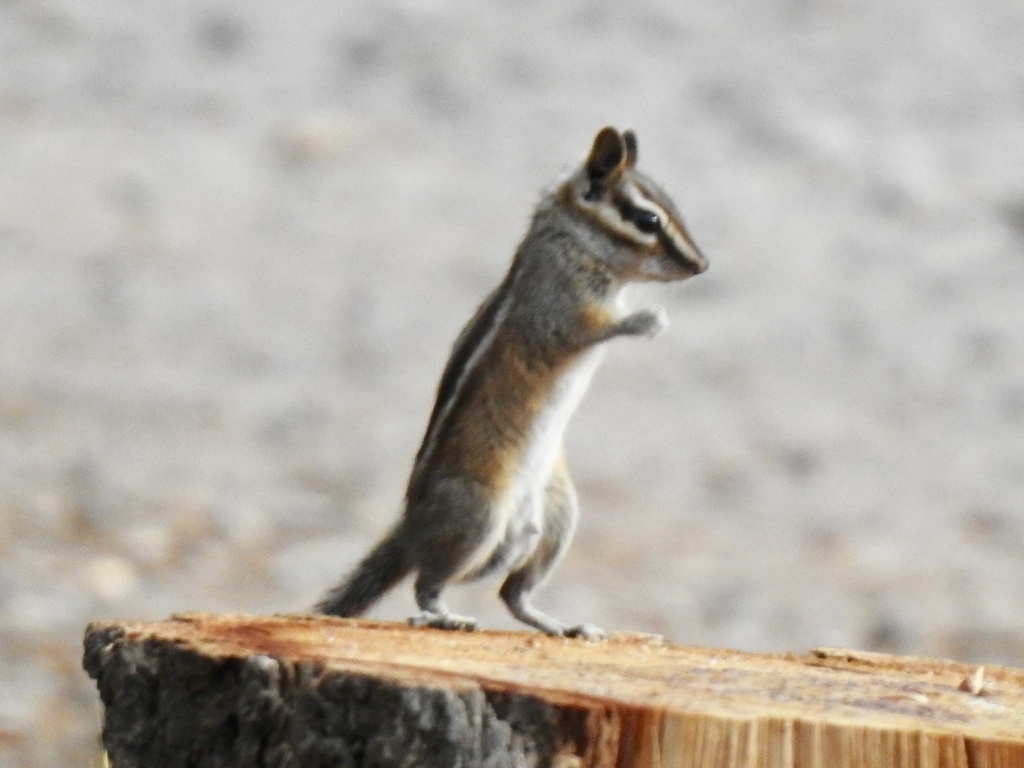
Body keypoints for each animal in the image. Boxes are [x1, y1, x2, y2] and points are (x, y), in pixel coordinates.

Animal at [316, 127, 708, 639]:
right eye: (648, 219)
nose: (702, 265)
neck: (569, 240)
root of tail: (412, 526)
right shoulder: (557, 307)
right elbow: (587, 328)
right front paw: (648, 319)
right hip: (478, 513)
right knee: (426, 582)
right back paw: (444, 617)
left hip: (557, 515)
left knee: (511, 593)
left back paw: (564, 627)